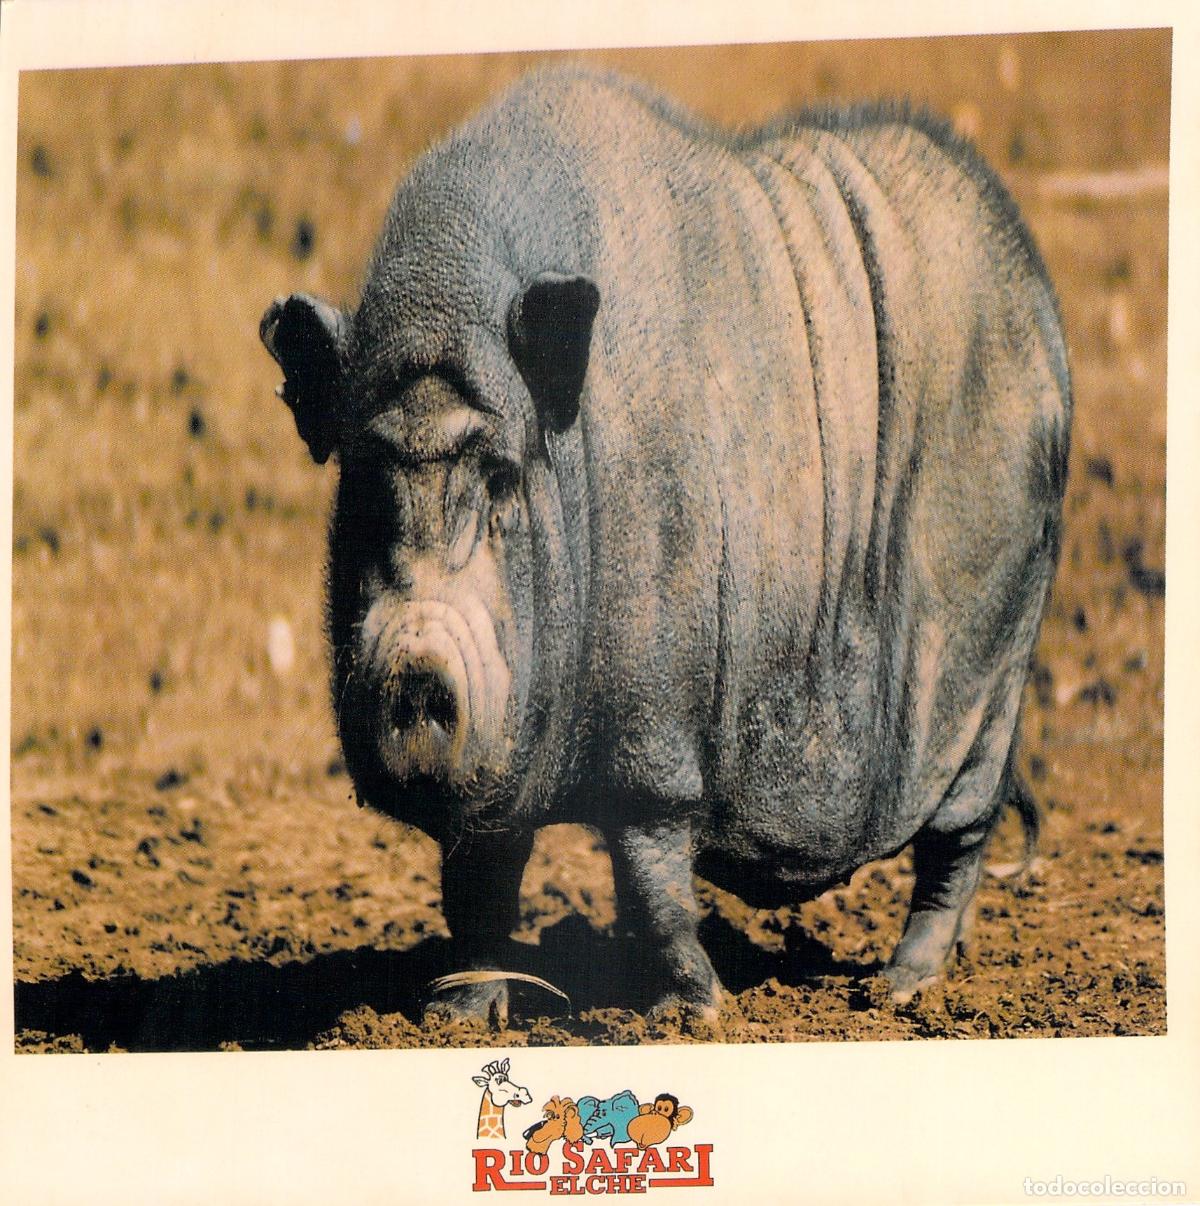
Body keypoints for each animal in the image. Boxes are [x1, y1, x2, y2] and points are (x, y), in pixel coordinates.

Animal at [259, 67, 1070, 1020]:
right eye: (362, 477)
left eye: (500, 475)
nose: (414, 668)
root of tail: (1047, 325)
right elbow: (477, 886)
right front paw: (451, 1016)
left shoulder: (658, 721)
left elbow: (649, 869)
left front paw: (697, 1013)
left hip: (998, 649)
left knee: (960, 831)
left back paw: (901, 990)